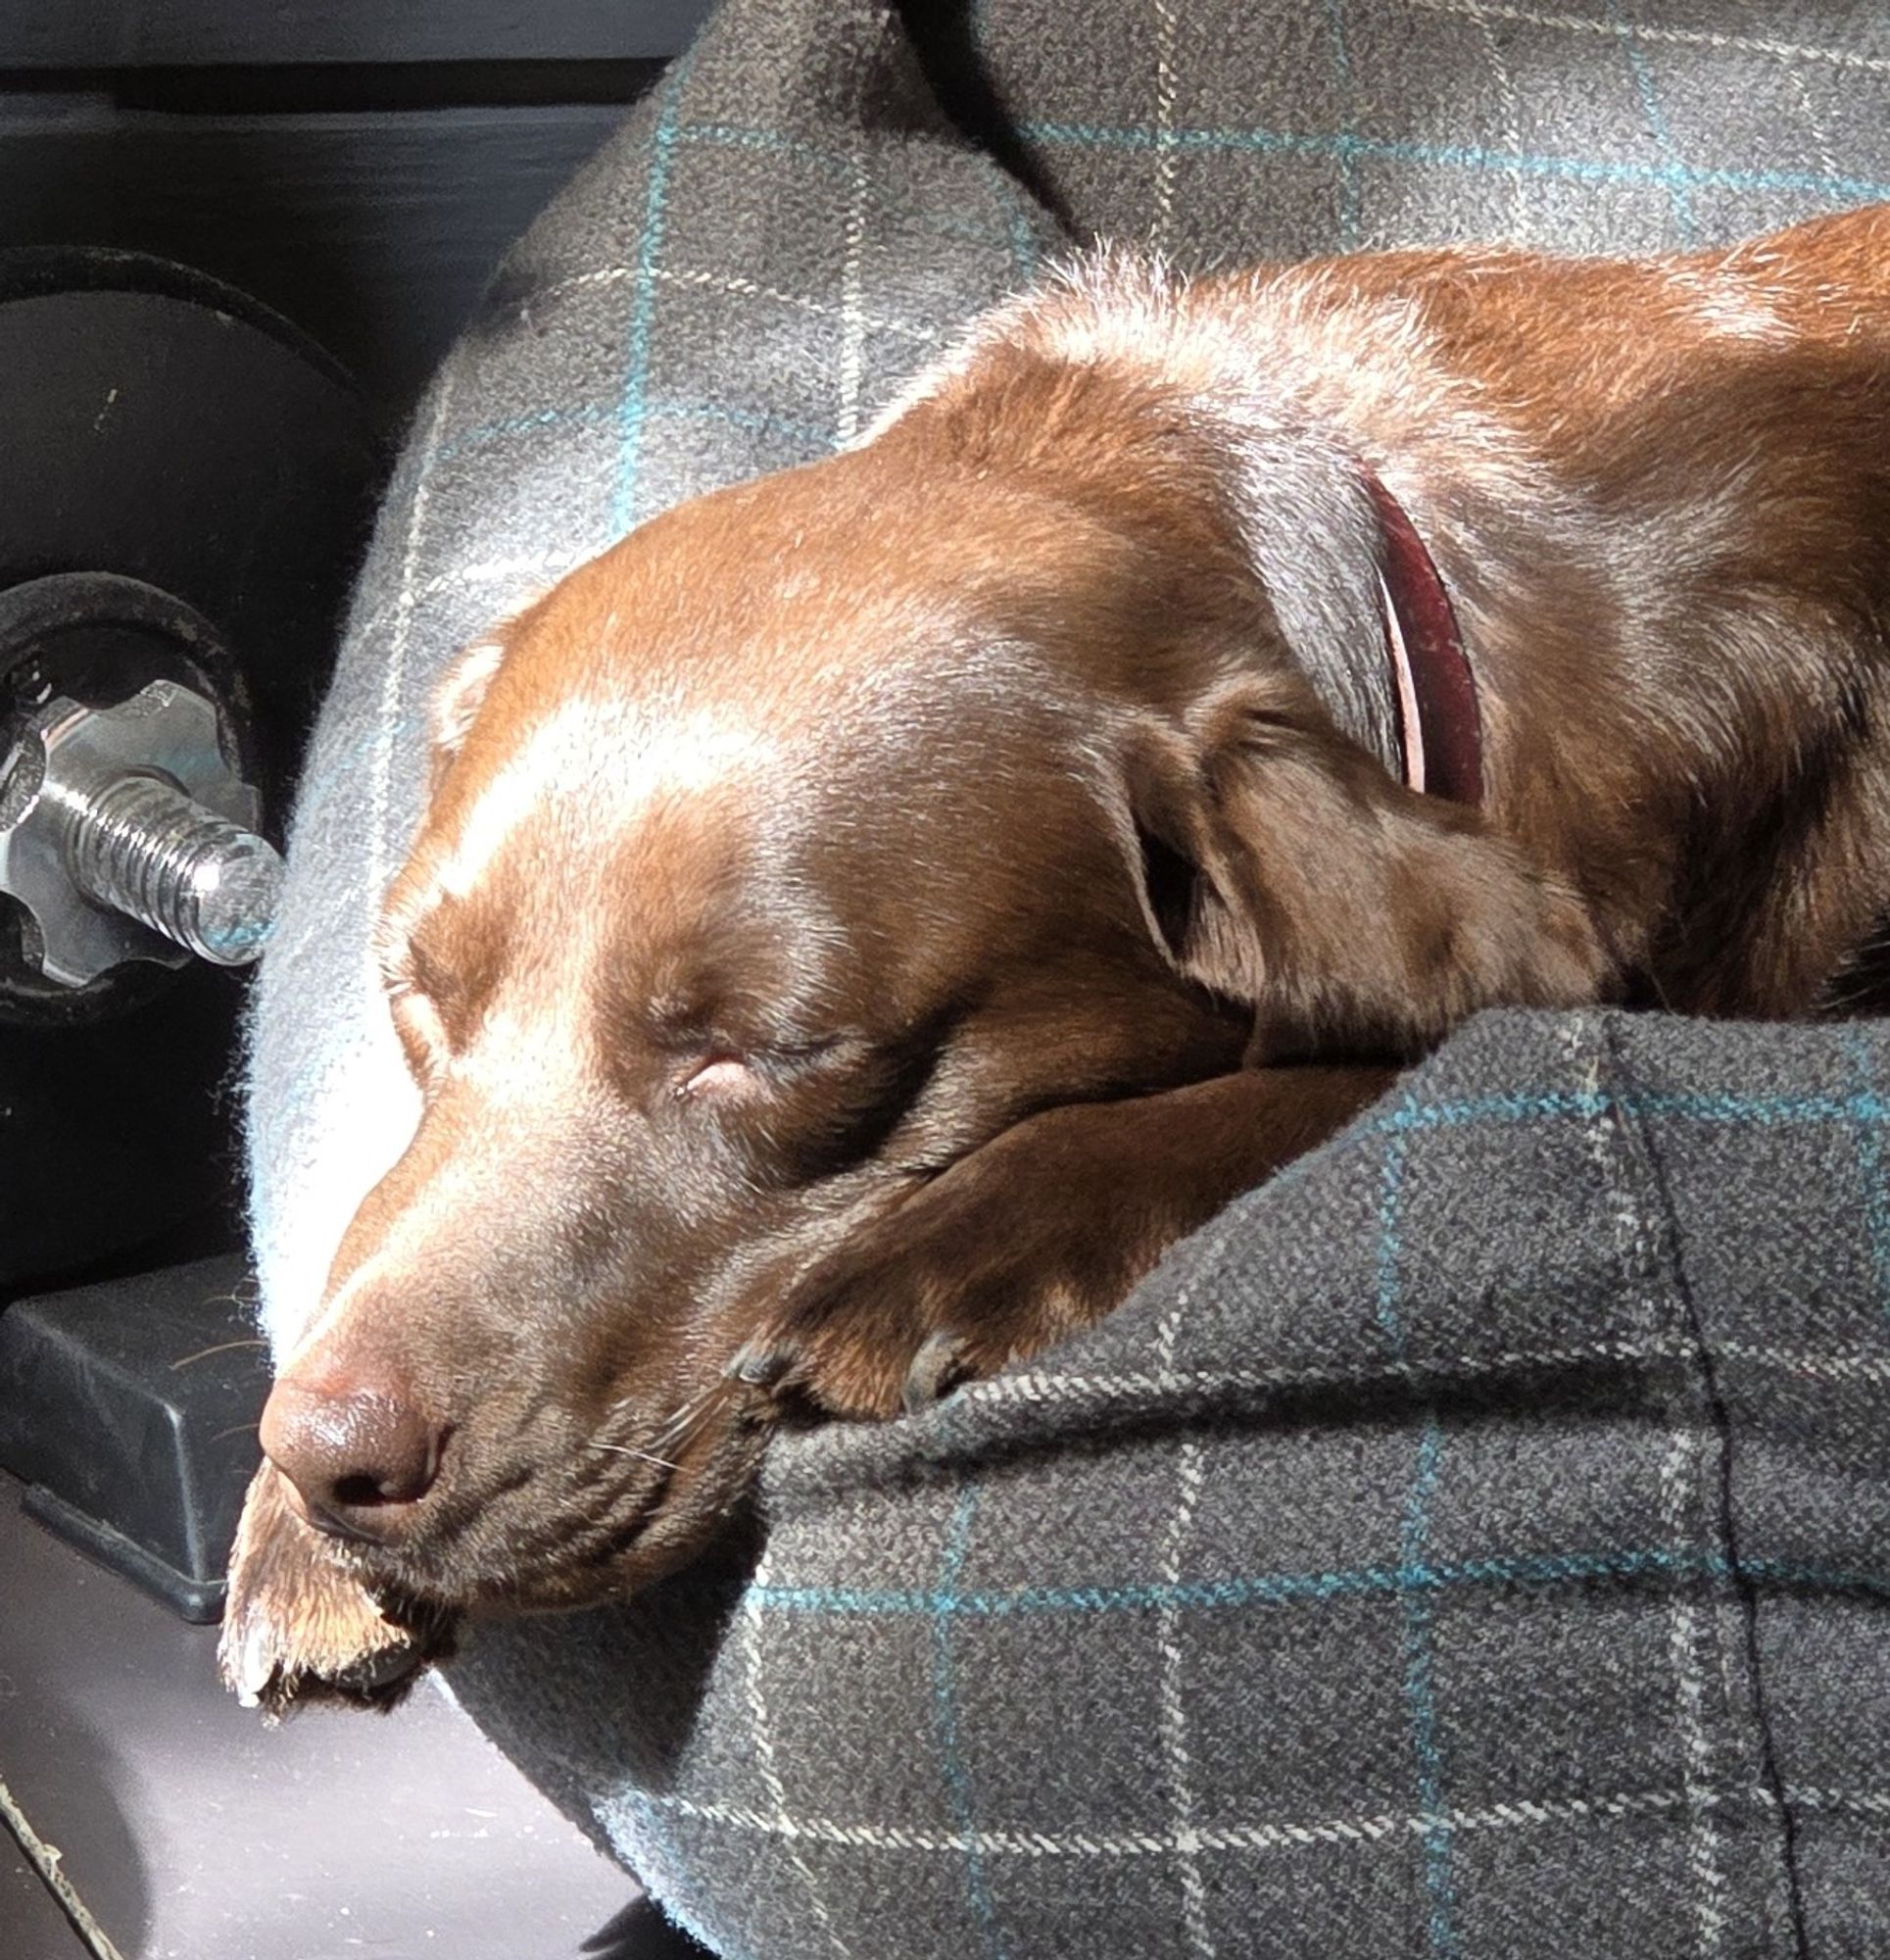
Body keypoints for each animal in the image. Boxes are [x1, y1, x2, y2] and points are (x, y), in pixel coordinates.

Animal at [221, 195, 1890, 1701]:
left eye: (765, 1052)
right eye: (416, 996)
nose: (324, 1458)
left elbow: (1327, 1069)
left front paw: (945, 1248)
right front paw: (287, 1531)